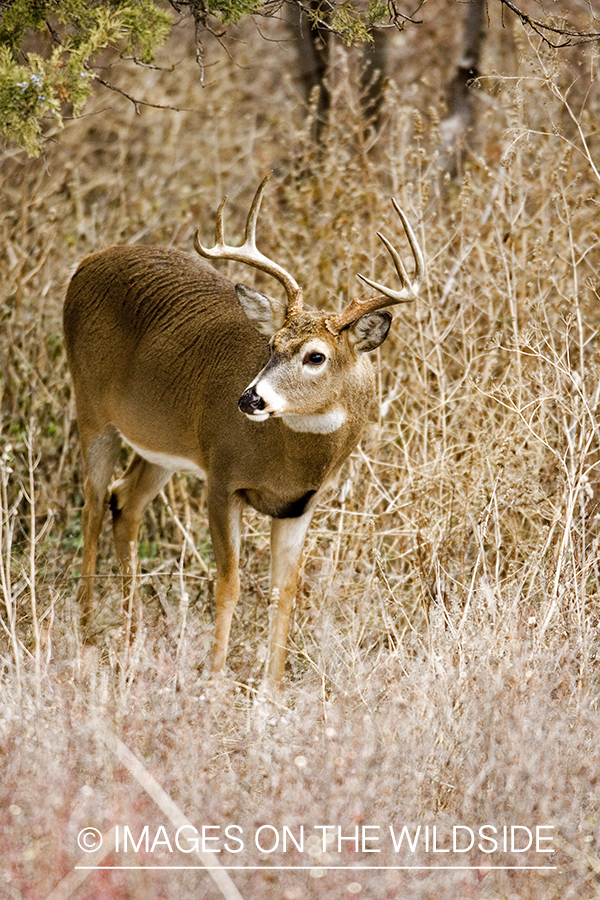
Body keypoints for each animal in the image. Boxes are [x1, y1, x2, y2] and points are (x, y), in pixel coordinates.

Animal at [63, 174, 424, 684]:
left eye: (316, 355)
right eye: (271, 346)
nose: (249, 399)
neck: (287, 461)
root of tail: (86, 263)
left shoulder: (300, 505)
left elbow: (283, 592)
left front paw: (272, 687)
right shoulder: (222, 477)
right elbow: (228, 585)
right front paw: (214, 680)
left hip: (159, 442)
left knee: (124, 503)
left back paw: (131, 638)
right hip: (92, 409)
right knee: (93, 505)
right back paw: (89, 632)